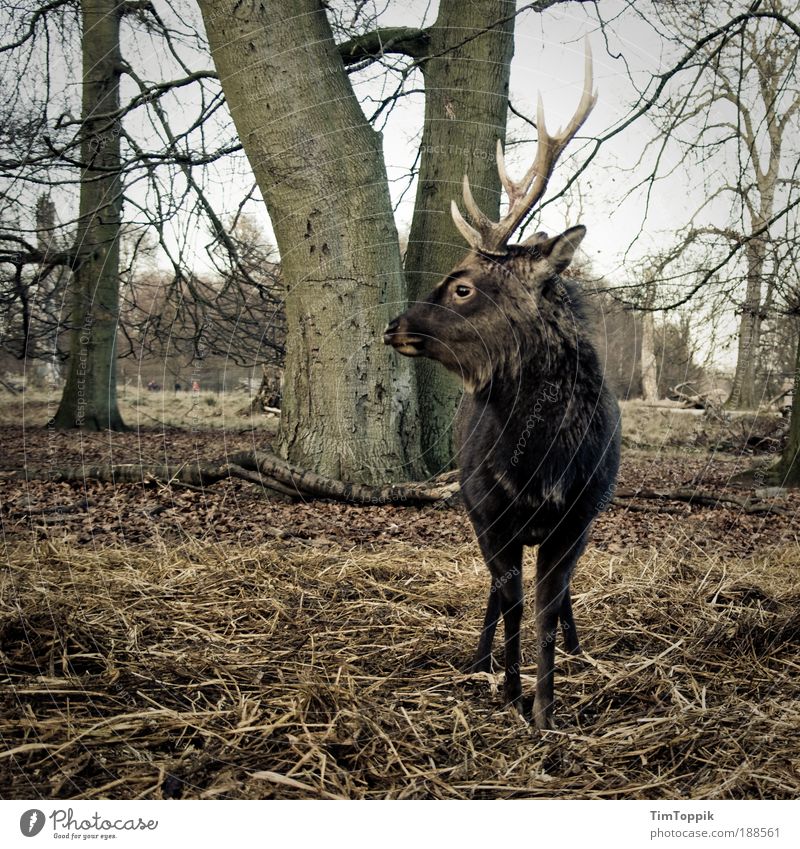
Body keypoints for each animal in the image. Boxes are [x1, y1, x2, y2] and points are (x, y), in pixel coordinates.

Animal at [384, 46, 620, 732]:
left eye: (463, 286)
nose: (393, 325)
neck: (541, 464)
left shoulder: (579, 516)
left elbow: (545, 605)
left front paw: (546, 708)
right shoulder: (490, 512)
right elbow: (512, 601)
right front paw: (511, 690)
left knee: (556, 598)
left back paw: (575, 646)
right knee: (495, 590)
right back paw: (480, 658)